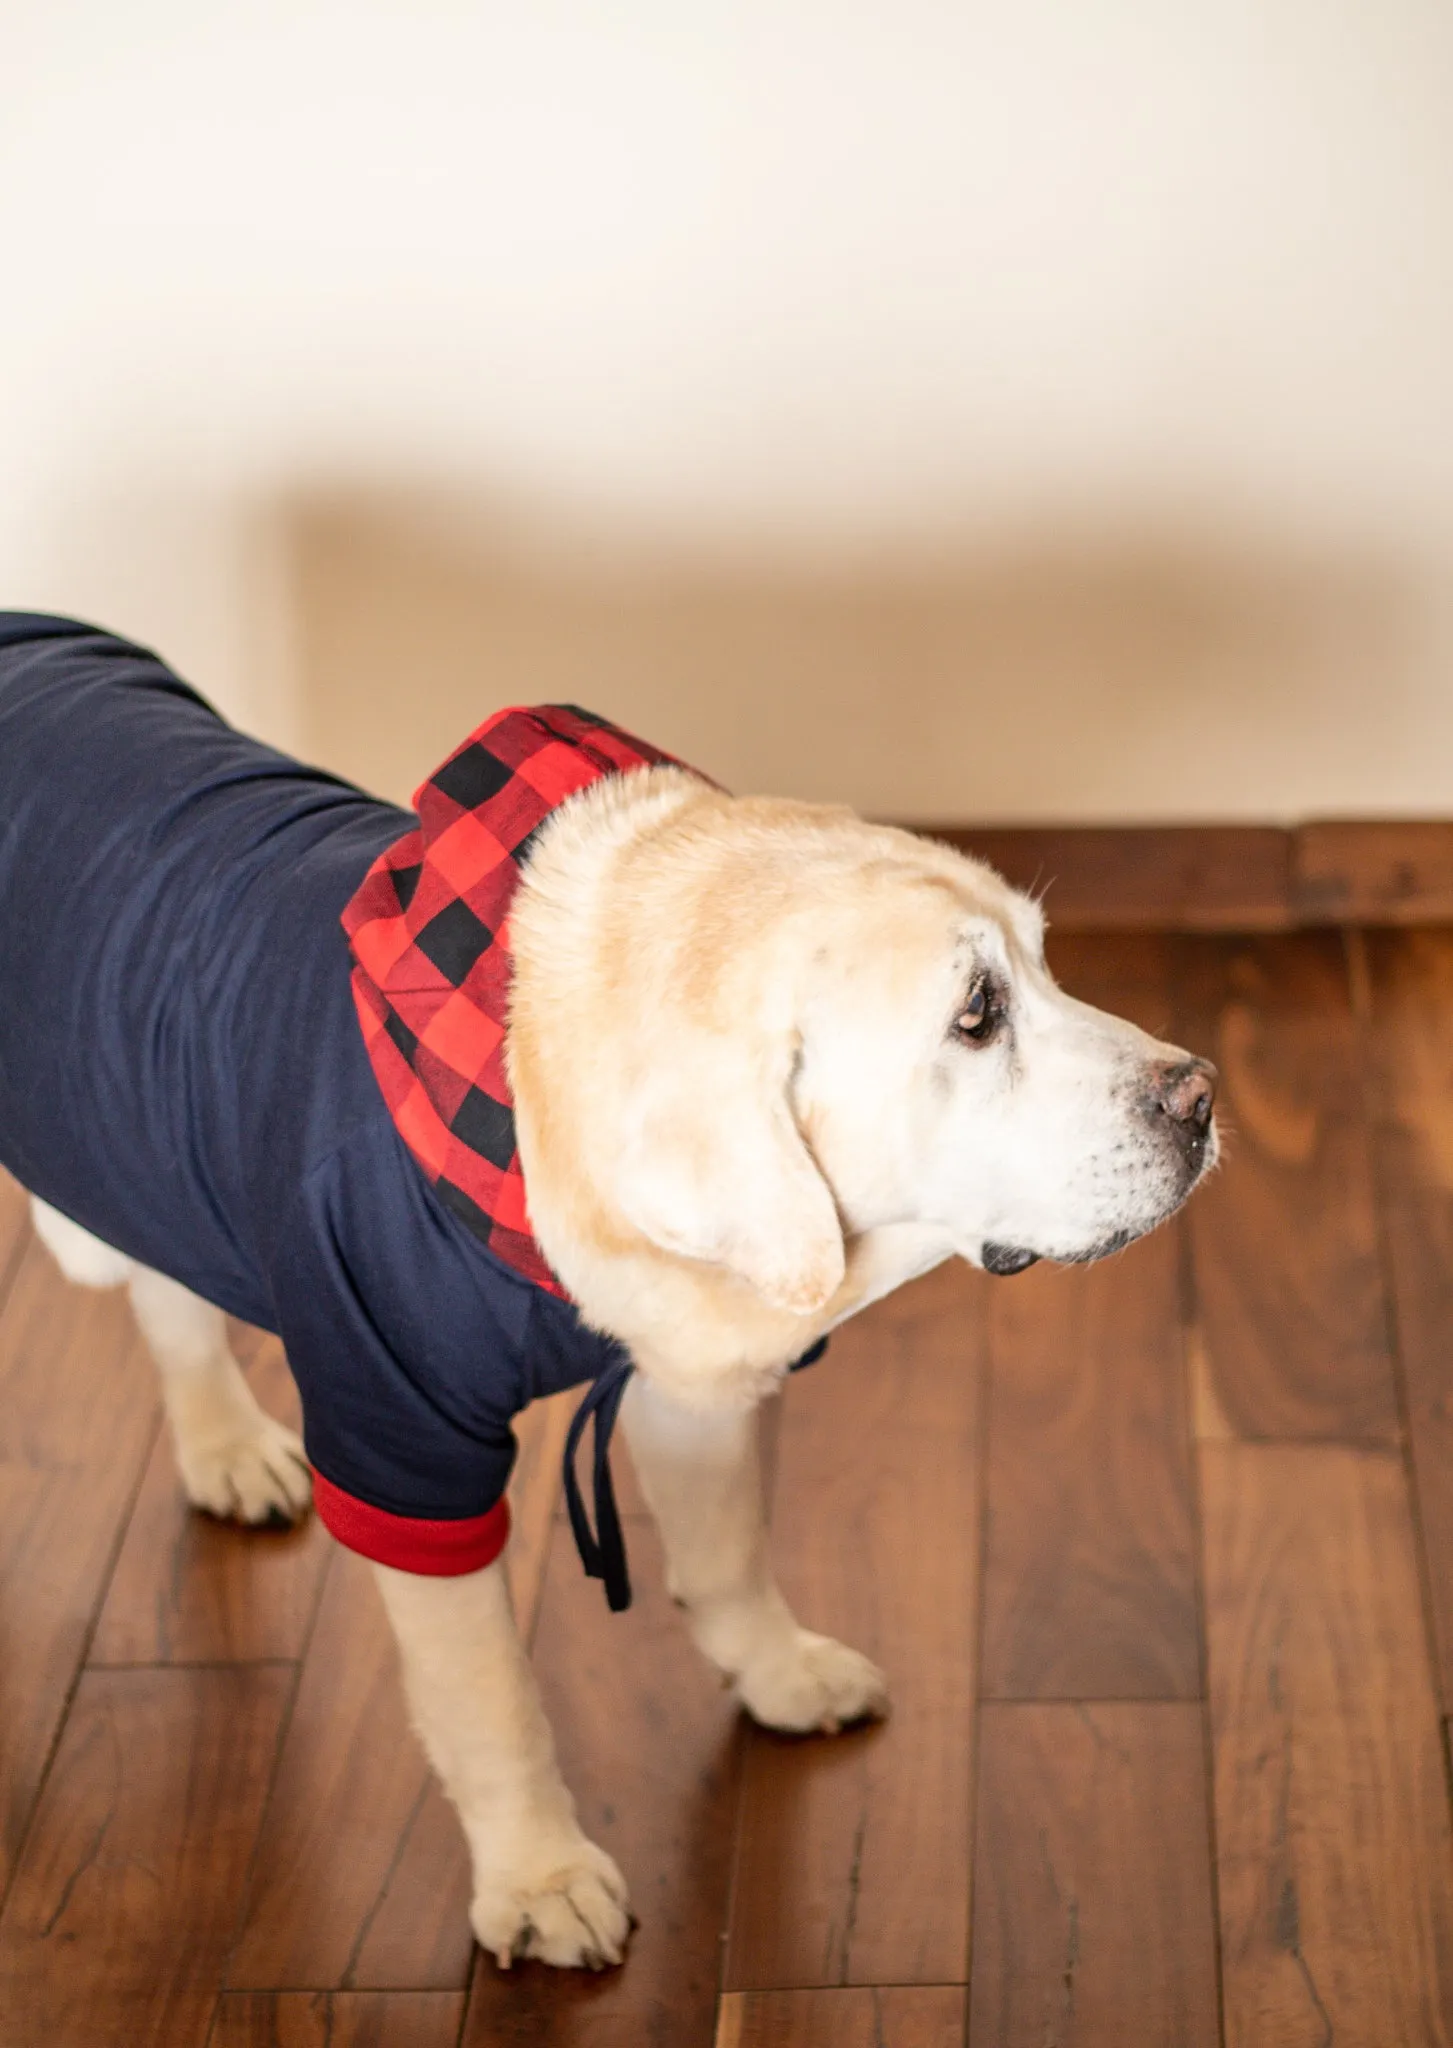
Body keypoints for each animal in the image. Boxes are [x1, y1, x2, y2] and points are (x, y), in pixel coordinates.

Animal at [2, 618, 1213, 1966]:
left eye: (1046, 969)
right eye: (975, 1013)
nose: (1202, 1095)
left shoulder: (690, 1368)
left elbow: (730, 1551)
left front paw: (775, 1672)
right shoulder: (404, 1439)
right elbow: (490, 1698)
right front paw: (536, 1876)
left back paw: (222, 1446)